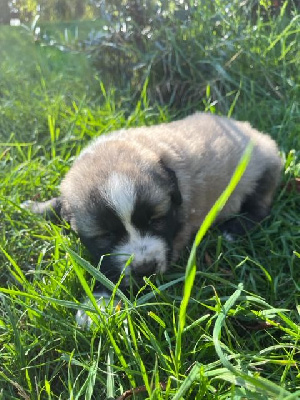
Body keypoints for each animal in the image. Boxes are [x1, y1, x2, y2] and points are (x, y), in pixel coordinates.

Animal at [23, 111, 282, 284]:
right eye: (106, 236)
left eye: (156, 220)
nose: (145, 269)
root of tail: (255, 132)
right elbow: (58, 203)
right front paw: (34, 207)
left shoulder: (179, 233)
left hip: (262, 169)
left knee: (260, 205)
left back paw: (234, 229)